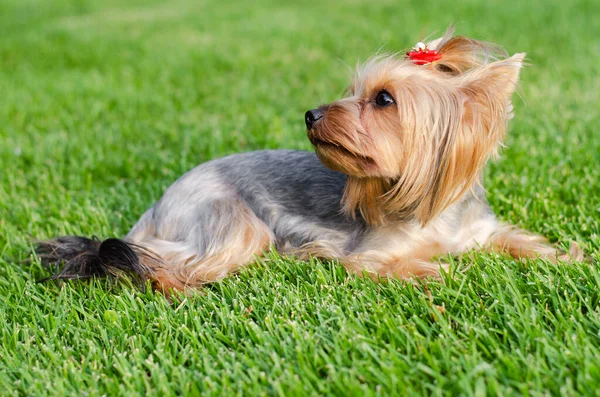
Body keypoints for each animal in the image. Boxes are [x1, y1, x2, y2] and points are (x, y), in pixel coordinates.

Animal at [36, 27, 580, 292]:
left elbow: (519, 241)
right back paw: (174, 286)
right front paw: (439, 272)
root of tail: (159, 201)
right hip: (229, 219)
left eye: (384, 99)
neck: (429, 209)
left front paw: (569, 257)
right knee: (170, 263)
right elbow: (402, 266)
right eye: (353, 91)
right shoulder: (365, 255)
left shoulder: (482, 229)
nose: (312, 114)